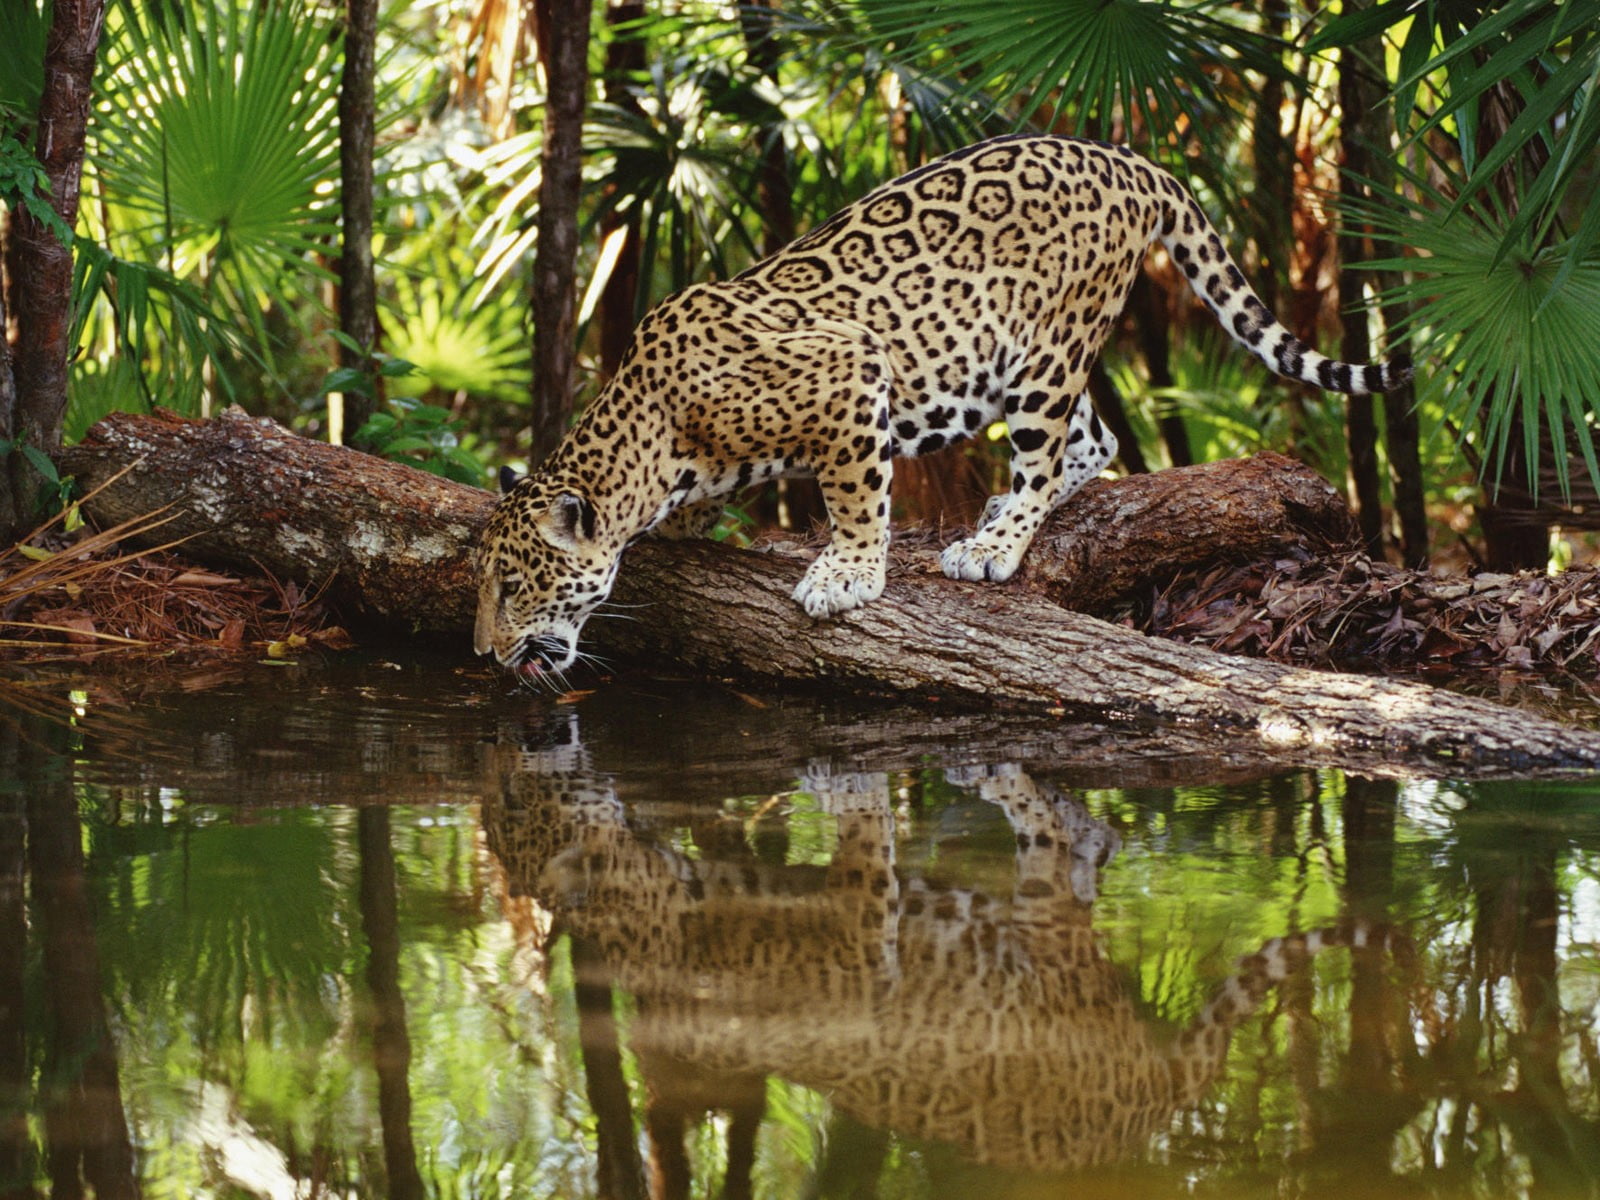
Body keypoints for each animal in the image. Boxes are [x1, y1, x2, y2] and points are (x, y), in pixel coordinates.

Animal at [476, 133, 1412, 678]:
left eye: (515, 584)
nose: (485, 652)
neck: (652, 431)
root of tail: (1128, 158)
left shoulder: (851, 369)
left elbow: (855, 495)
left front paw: (847, 574)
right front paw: (690, 525)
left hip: (1047, 350)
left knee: (1047, 450)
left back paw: (994, 544)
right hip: (1014, 359)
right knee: (1098, 437)